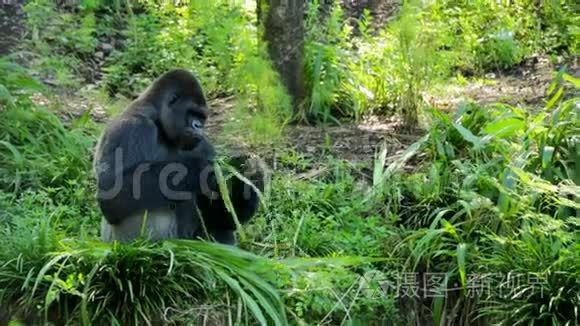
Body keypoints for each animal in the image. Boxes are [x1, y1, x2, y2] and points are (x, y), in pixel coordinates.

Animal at [93, 70, 266, 246]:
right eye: (191, 113)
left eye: (202, 117)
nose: (198, 126)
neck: (160, 123)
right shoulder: (131, 127)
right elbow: (112, 193)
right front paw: (201, 169)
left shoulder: (204, 145)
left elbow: (221, 219)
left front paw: (250, 175)